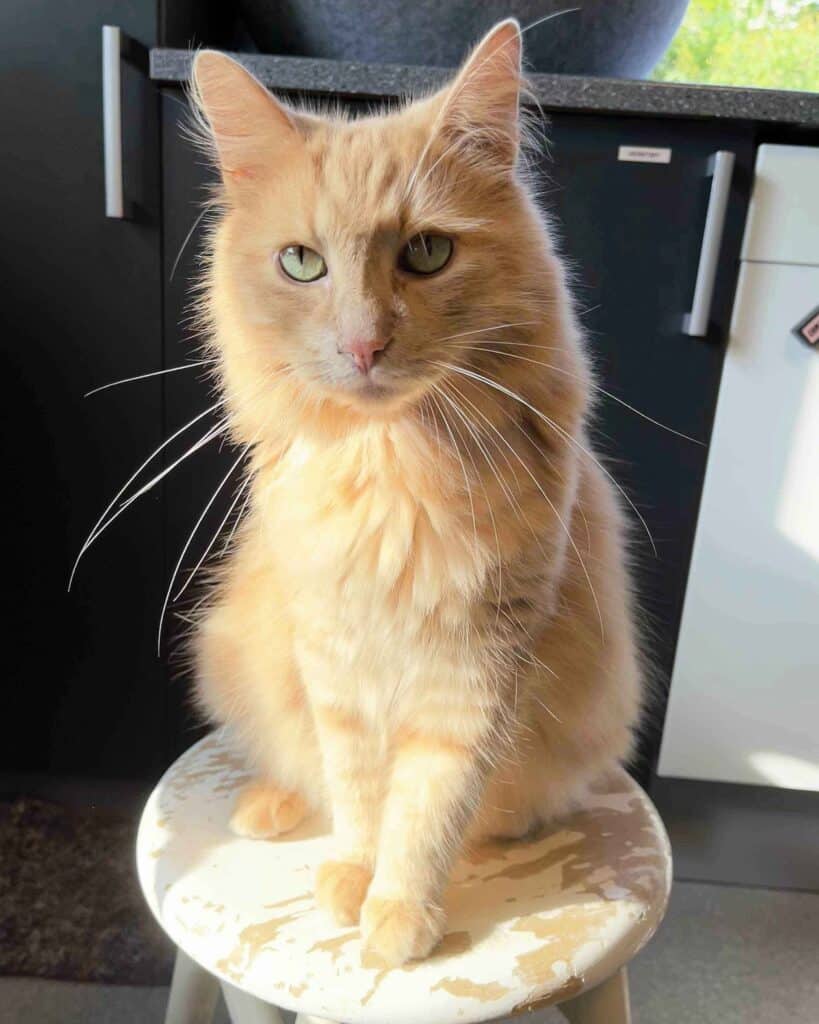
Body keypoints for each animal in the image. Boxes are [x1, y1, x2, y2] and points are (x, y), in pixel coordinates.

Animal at [190, 18, 641, 967]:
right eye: (301, 263)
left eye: (426, 253)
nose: (363, 346)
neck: (394, 464)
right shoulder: (333, 655)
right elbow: (359, 788)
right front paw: (352, 877)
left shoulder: (479, 662)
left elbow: (429, 804)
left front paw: (398, 911)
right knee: (298, 769)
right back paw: (271, 808)